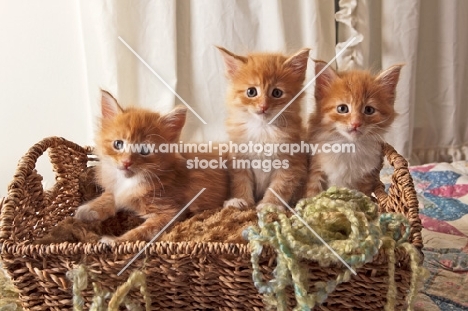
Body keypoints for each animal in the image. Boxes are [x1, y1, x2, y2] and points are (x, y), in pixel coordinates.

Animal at [75, 90, 229, 244]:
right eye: (118, 144)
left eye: (144, 150)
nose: (126, 162)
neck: (131, 181)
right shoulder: (118, 190)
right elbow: (110, 195)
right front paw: (88, 210)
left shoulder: (170, 212)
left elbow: (141, 232)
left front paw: (115, 241)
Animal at [218, 47, 310, 211]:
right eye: (251, 92)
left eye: (277, 93)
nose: (263, 106)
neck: (263, 129)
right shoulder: (239, 158)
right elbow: (240, 181)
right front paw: (240, 199)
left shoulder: (291, 162)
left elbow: (279, 186)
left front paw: (270, 204)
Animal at [308, 61, 402, 197]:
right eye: (342, 109)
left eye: (369, 110)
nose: (356, 123)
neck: (348, 146)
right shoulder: (315, 168)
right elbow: (311, 193)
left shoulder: (367, 177)